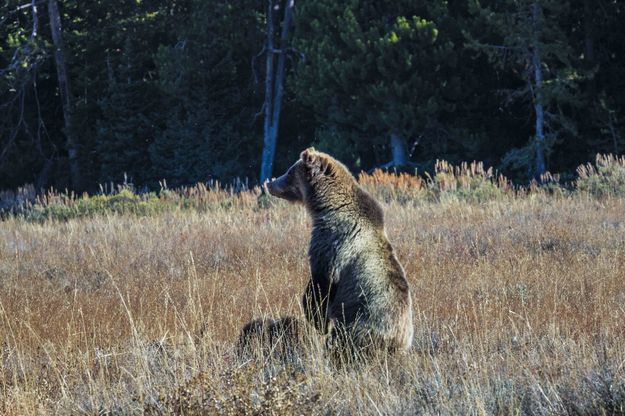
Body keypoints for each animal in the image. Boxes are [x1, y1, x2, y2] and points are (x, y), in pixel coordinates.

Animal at [264, 148, 414, 360]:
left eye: (289, 171)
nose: (269, 183)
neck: (327, 205)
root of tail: (399, 342)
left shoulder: (331, 242)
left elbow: (321, 283)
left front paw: (317, 320)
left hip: (360, 324)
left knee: (341, 341)